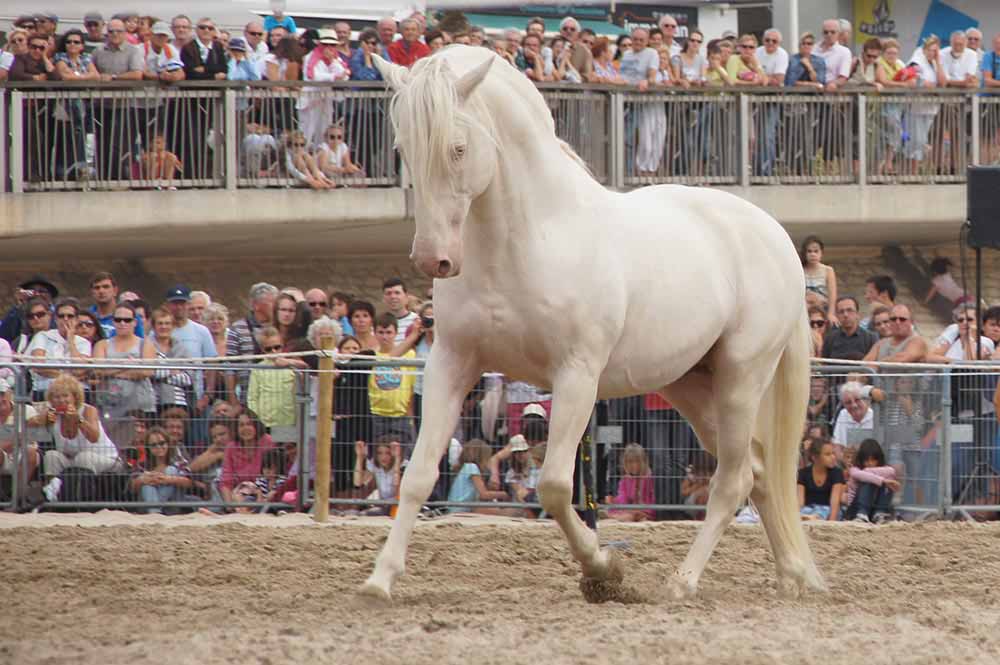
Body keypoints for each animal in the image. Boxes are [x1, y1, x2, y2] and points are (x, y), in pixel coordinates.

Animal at [364, 49, 824, 600]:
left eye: (457, 147)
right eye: (402, 148)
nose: (432, 259)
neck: (528, 238)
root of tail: (774, 235)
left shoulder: (578, 376)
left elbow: (555, 486)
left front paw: (603, 569)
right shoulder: (452, 364)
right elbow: (417, 474)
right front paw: (379, 580)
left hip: (741, 379)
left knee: (732, 480)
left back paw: (683, 583)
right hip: (689, 385)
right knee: (758, 472)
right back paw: (793, 576)